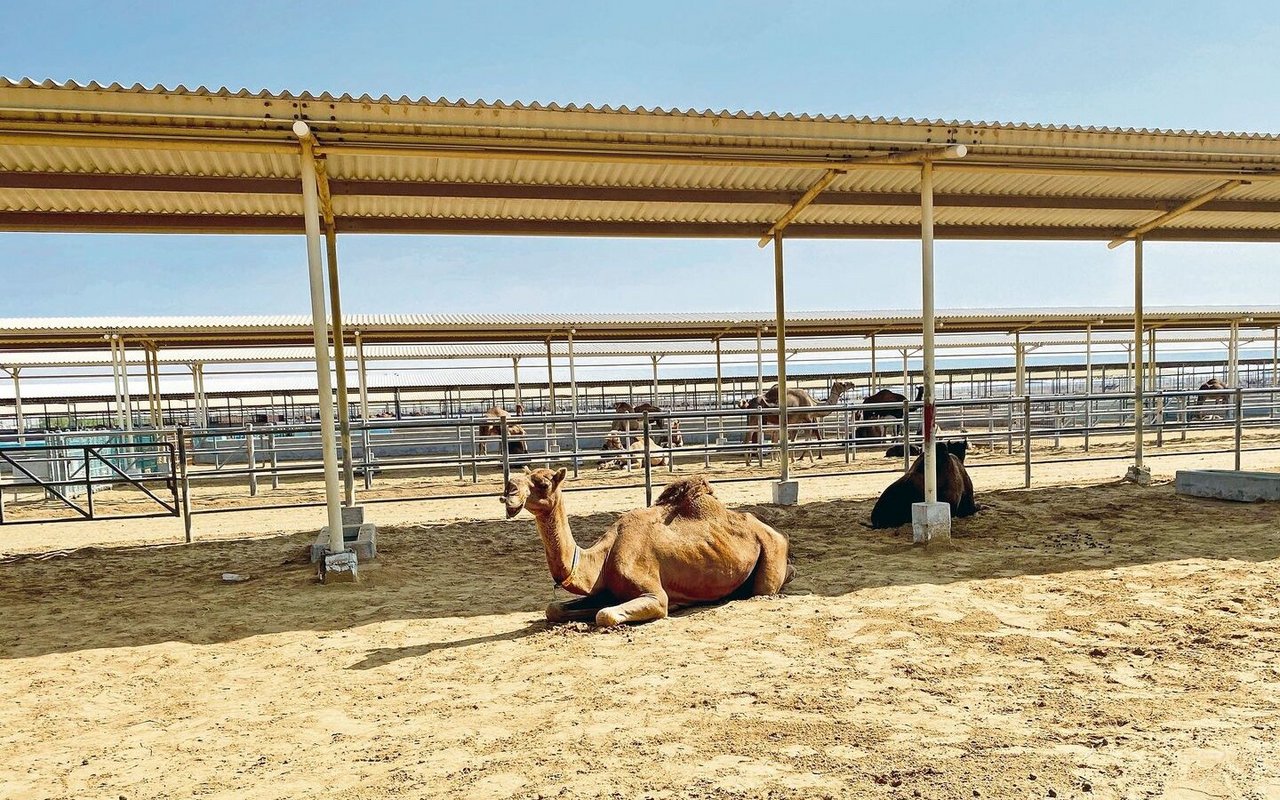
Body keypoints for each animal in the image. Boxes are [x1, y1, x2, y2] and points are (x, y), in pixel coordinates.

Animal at [504, 465, 793, 627]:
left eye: (543, 483)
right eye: (522, 477)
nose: (509, 490)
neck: (603, 557)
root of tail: (776, 532)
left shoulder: (654, 593)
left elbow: (605, 615)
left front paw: (674, 605)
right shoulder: (604, 588)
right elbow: (553, 609)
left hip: (771, 553)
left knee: (763, 589)